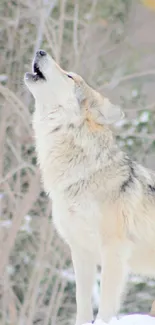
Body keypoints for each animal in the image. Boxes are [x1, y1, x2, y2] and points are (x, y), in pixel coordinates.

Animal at [24, 49, 155, 322]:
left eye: (70, 76)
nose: (40, 51)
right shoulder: (80, 250)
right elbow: (82, 302)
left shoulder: (113, 250)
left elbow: (105, 305)